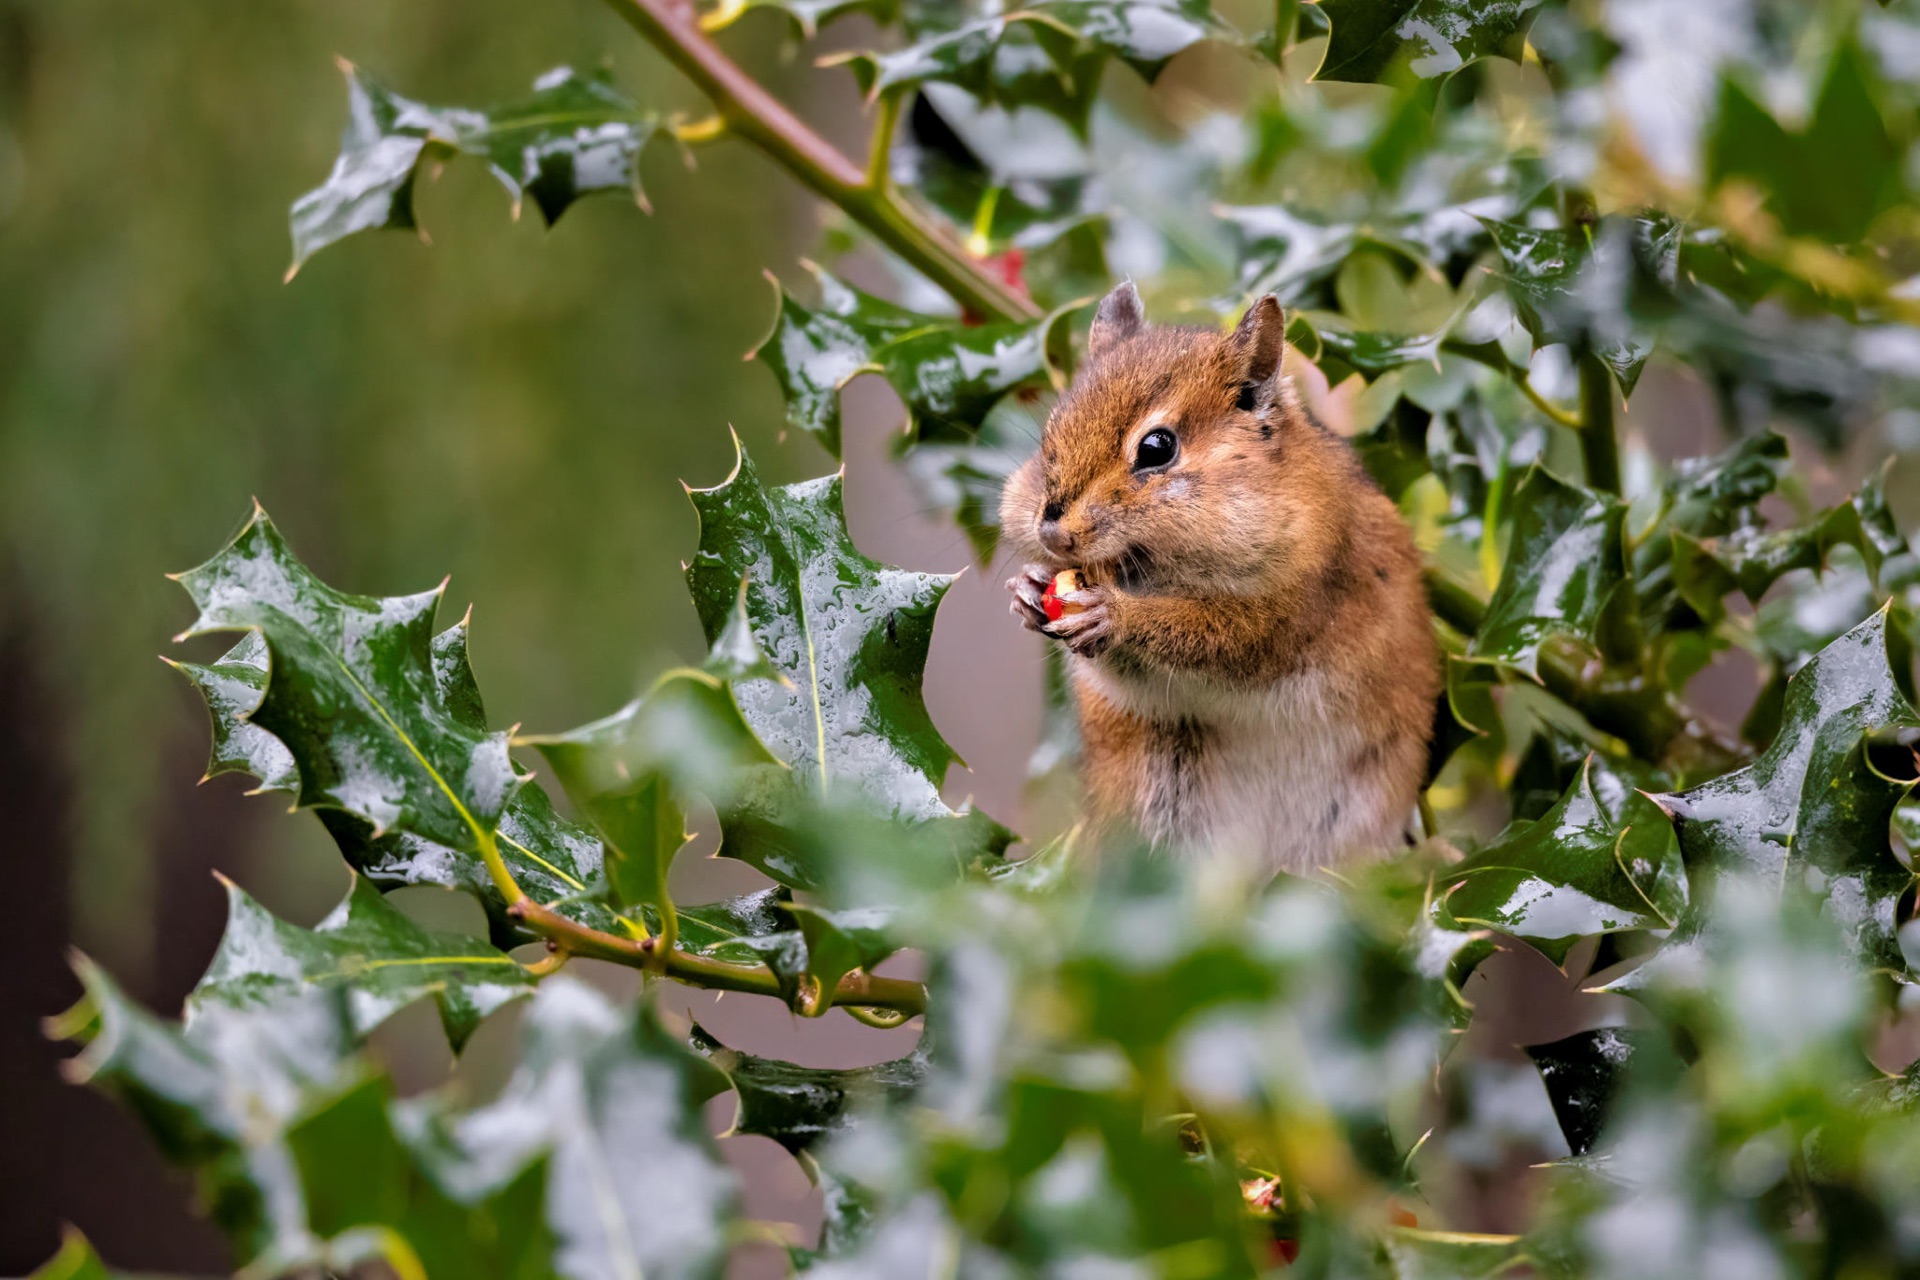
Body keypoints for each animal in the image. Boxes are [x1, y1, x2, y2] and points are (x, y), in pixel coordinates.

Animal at [1002, 282, 1439, 872]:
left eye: (1157, 447)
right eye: (1050, 434)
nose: (1051, 533)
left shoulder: (1292, 607)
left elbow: (1219, 639)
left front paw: (1112, 614)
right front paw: (1027, 589)